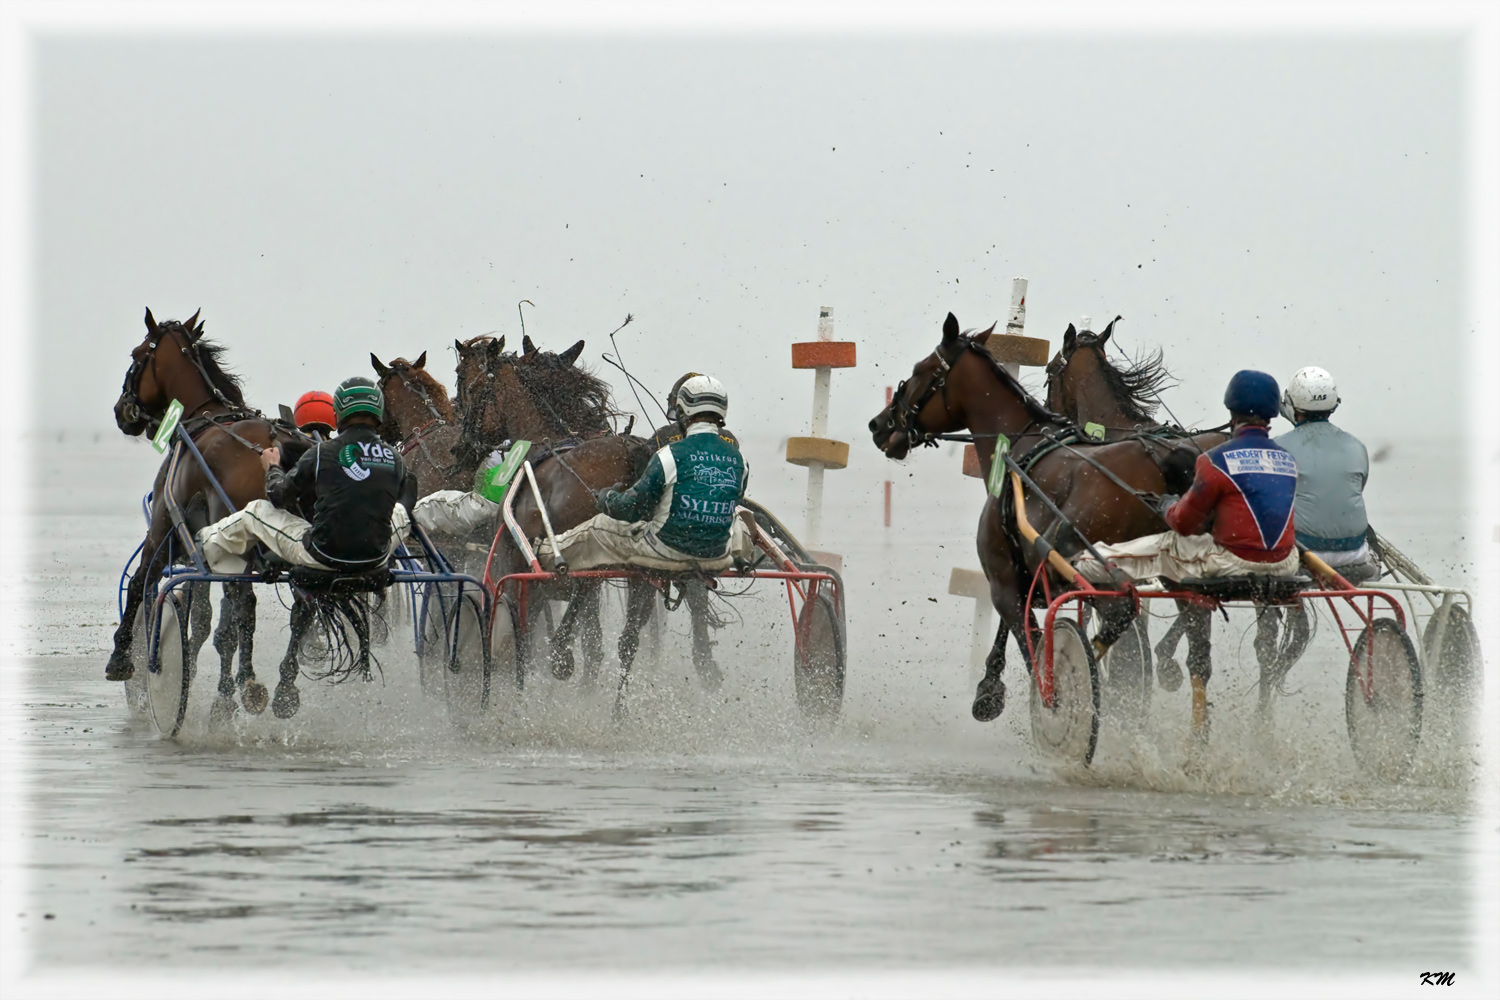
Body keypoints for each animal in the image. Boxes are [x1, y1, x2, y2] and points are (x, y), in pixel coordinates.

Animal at [110, 307, 307, 719]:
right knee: (305, 605)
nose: (121, 411)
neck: (203, 417)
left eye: (137, 356)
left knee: (246, 603)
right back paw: (283, 689)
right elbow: (214, 622)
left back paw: (250, 685)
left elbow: (141, 582)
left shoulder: (163, 526)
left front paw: (125, 657)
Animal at [870, 316, 1230, 746]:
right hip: (1176, 574)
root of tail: (1161, 460)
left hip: (1081, 562)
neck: (1020, 446)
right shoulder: (1028, 576)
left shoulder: (1006, 582)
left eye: (919, 371)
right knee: (1199, 652)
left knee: (1120, 612)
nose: (879, 425)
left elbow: (1030, 644)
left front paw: (1007, 694)